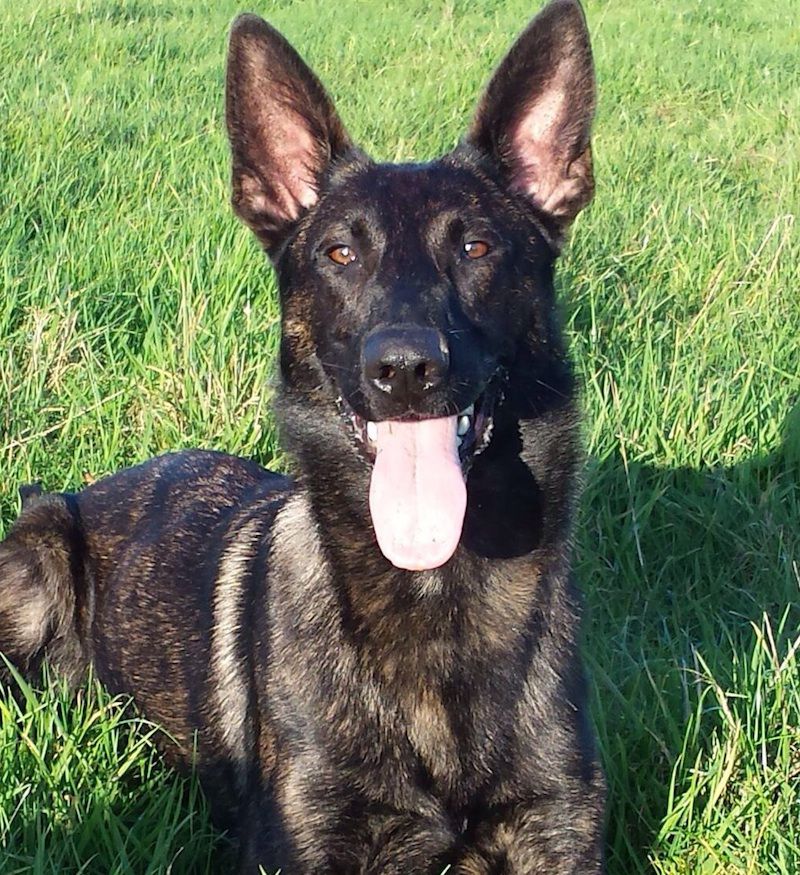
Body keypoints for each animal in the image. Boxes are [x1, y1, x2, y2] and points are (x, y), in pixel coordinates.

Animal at [0, 3, 608, 872]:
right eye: (339, 253)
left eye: (476, 247)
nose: (405, 367)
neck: (435, 597)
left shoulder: (558, 826)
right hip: (38, 557)